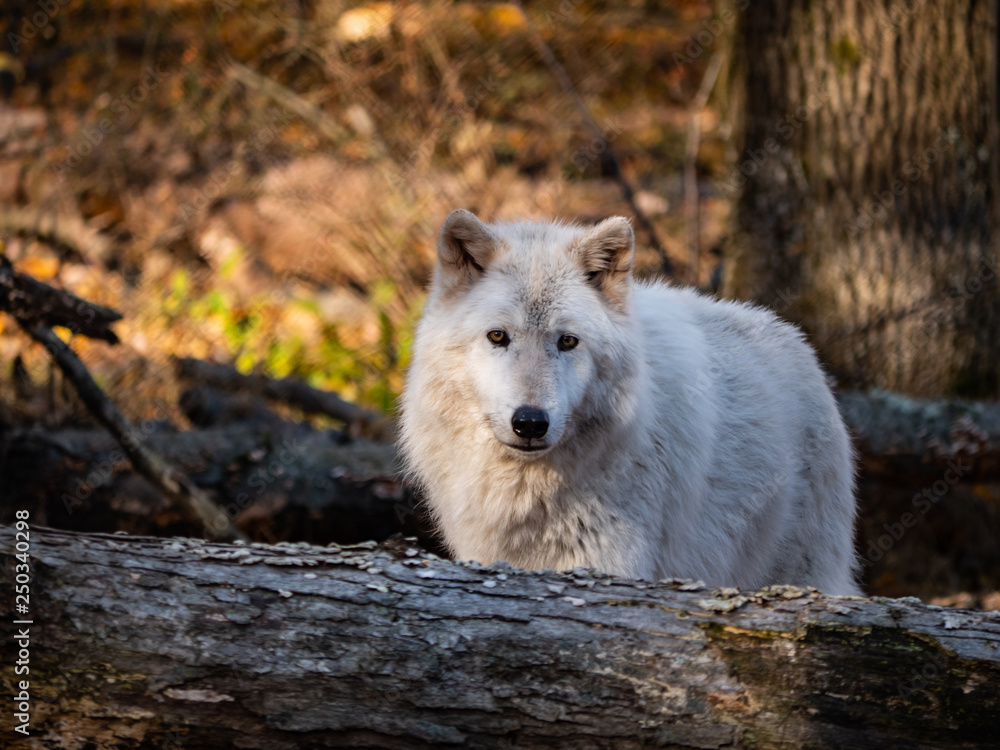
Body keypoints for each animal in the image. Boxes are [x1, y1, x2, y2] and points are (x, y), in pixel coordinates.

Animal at [400, 210, 860, 595]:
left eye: (568, 341)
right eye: (498, 336)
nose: (530, 422)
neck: (528, 494)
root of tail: (798, 341)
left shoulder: (609, 567)